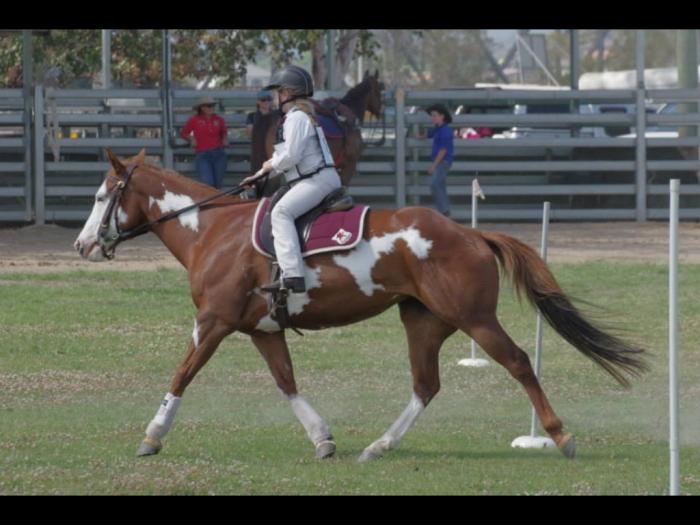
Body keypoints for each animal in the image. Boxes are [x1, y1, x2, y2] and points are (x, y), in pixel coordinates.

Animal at [73, 149, 648, 462]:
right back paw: (379, 446)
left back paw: (560, 436)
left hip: (475, 320)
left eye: (102, 197)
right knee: (425, 386)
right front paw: (323, 439)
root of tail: (471, 233)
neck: (212, 231)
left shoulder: (213, 322)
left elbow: (182, 375)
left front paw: (152, 436)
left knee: (519, 363)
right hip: (424, 322)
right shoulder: (263, 330)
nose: (82, 246)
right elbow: (287, 383)